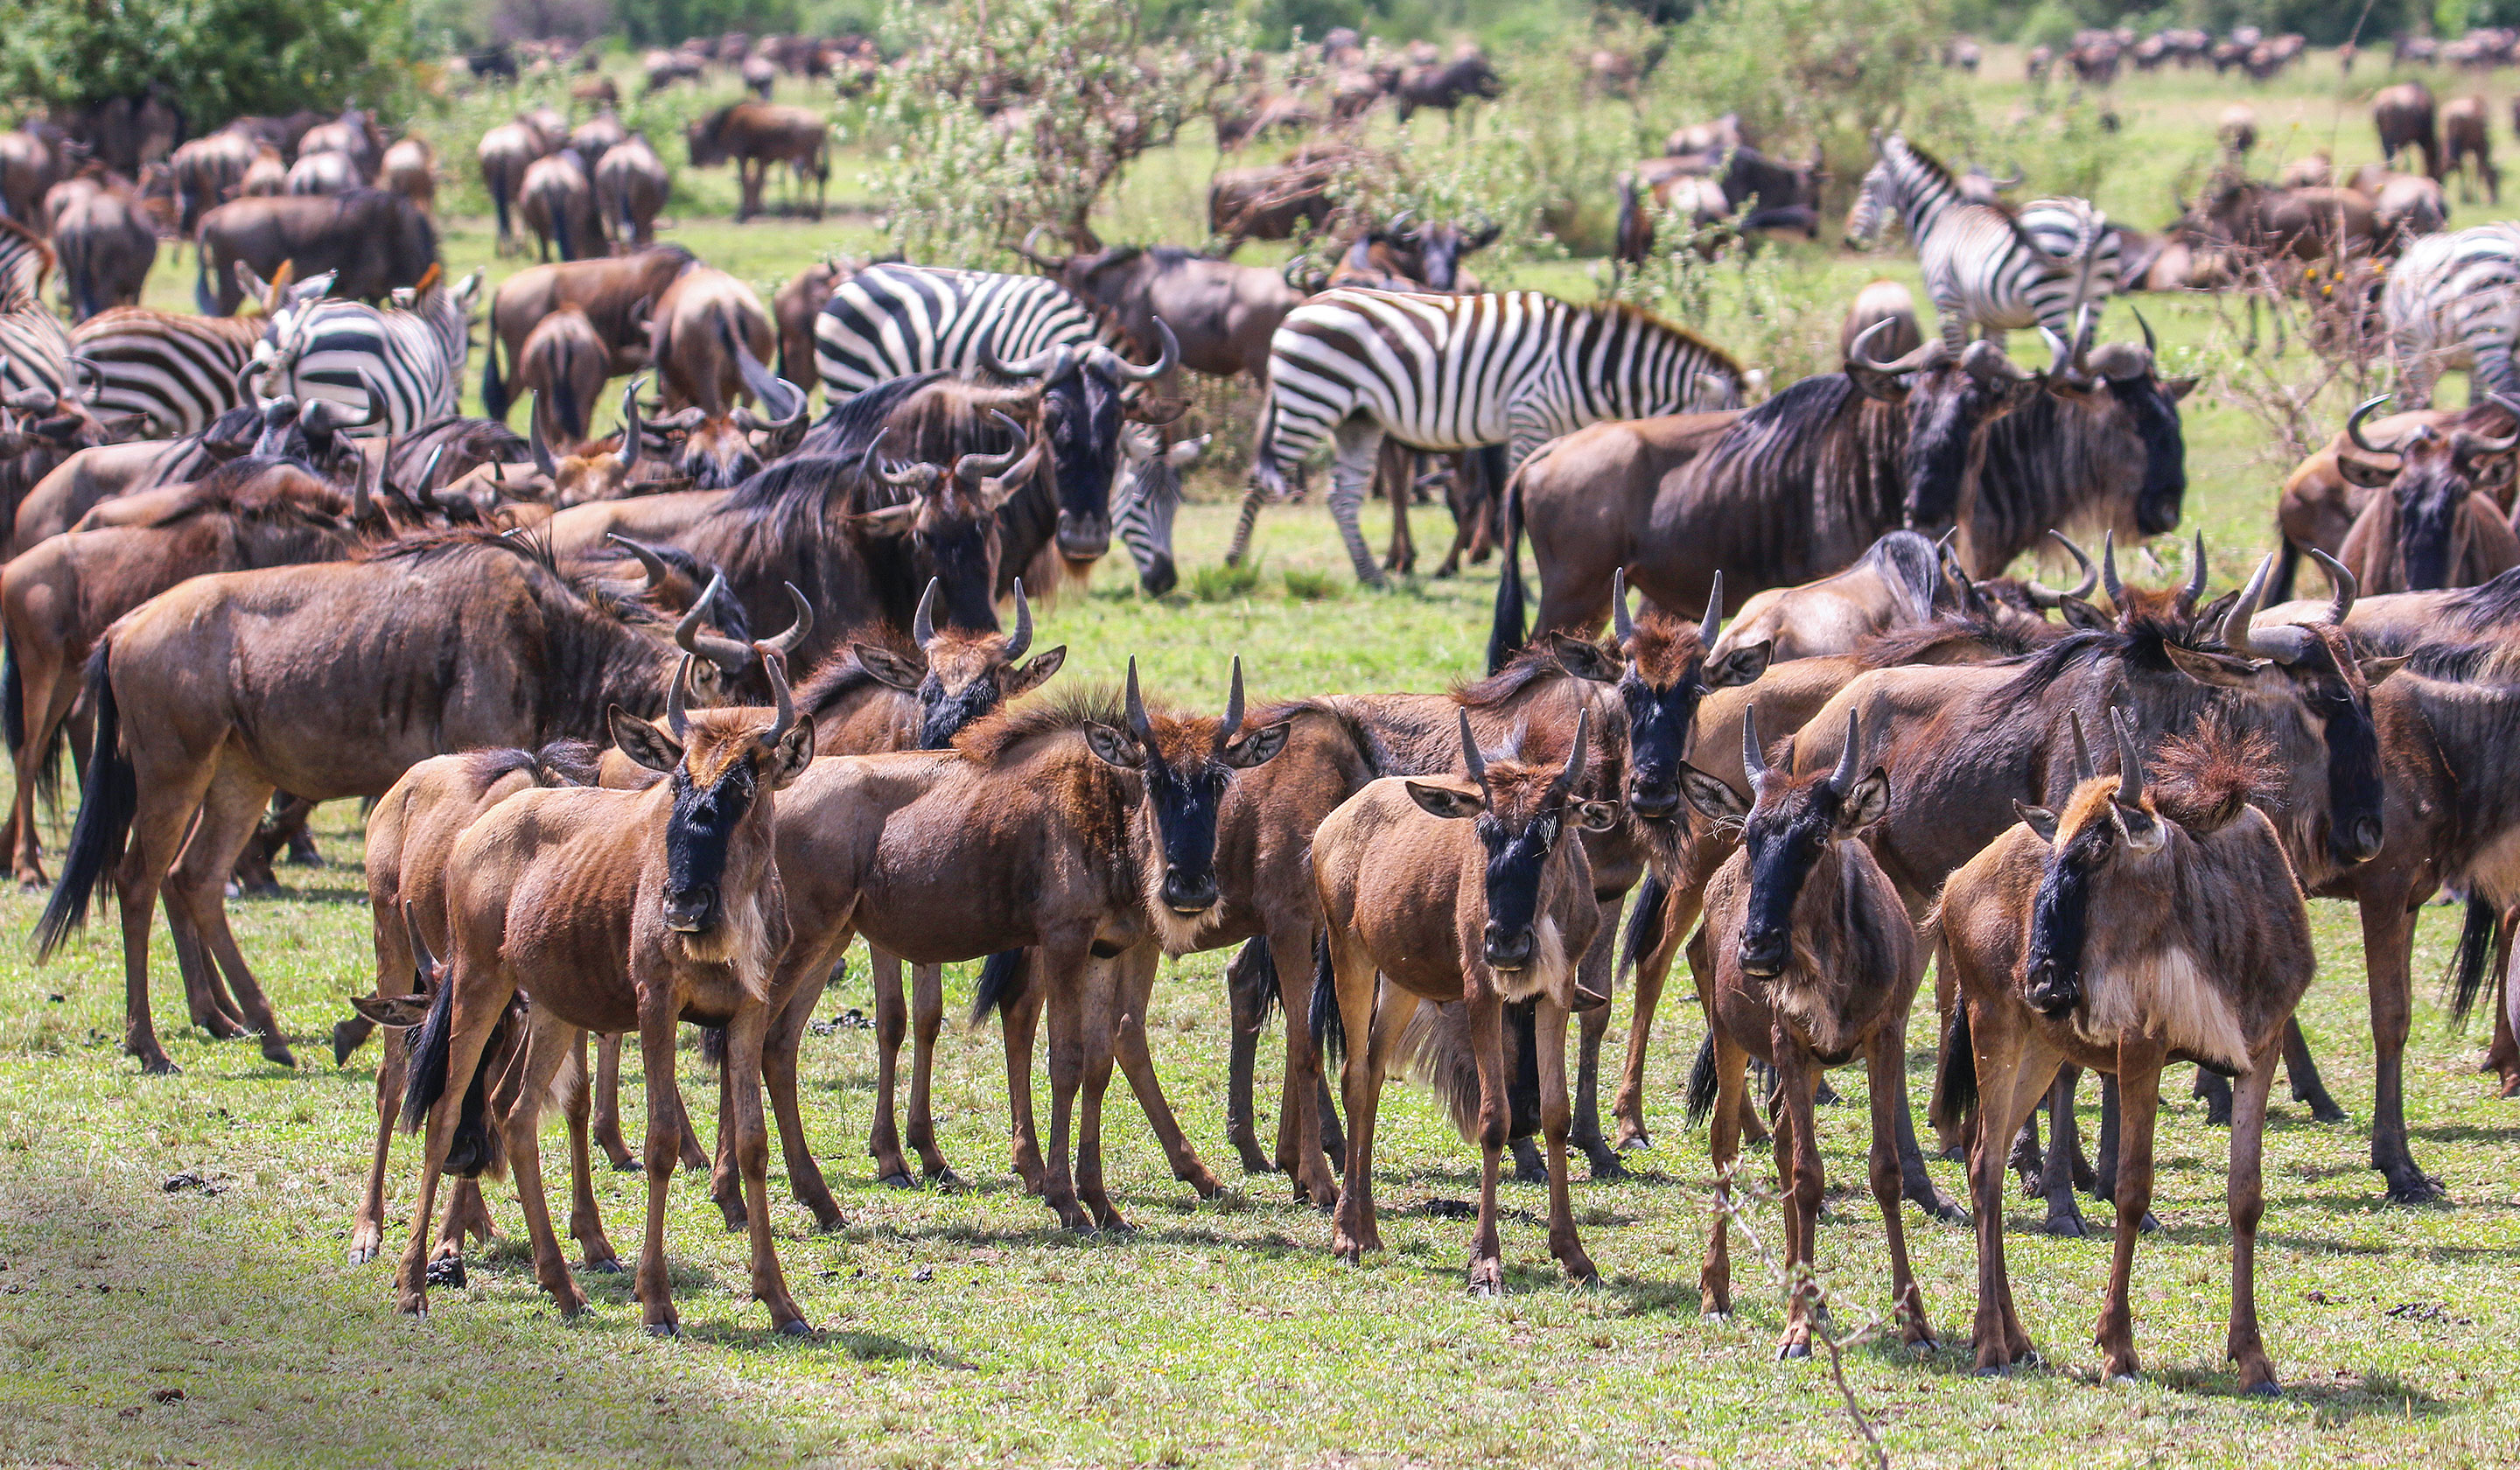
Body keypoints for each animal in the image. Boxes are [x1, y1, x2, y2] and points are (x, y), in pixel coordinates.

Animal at [1229, 287, 1743, 587]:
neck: (1584, 368)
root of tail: (1300, 307)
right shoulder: (1528, 415)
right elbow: (1508, 492)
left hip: (1358, 418)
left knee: (1342, 497)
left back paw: (1372, 575)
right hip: (1310, 401)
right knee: (1258, 479)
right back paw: (1235, 562)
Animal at [1844, 135, 2117, 360]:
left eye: (1867, 185)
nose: (1850, 240)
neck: (1939, 221)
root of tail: (2083, 217)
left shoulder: (1949, 309)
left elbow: (1957, 363)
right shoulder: (1995, 320)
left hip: (2048, 298)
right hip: (2093, 299)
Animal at [2378, 224, 2520, 408]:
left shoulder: (2411, 348)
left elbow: (2419, 402)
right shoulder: (2472, 363)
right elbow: (2475, 400)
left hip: (2487, 327)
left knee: (2508, 390)